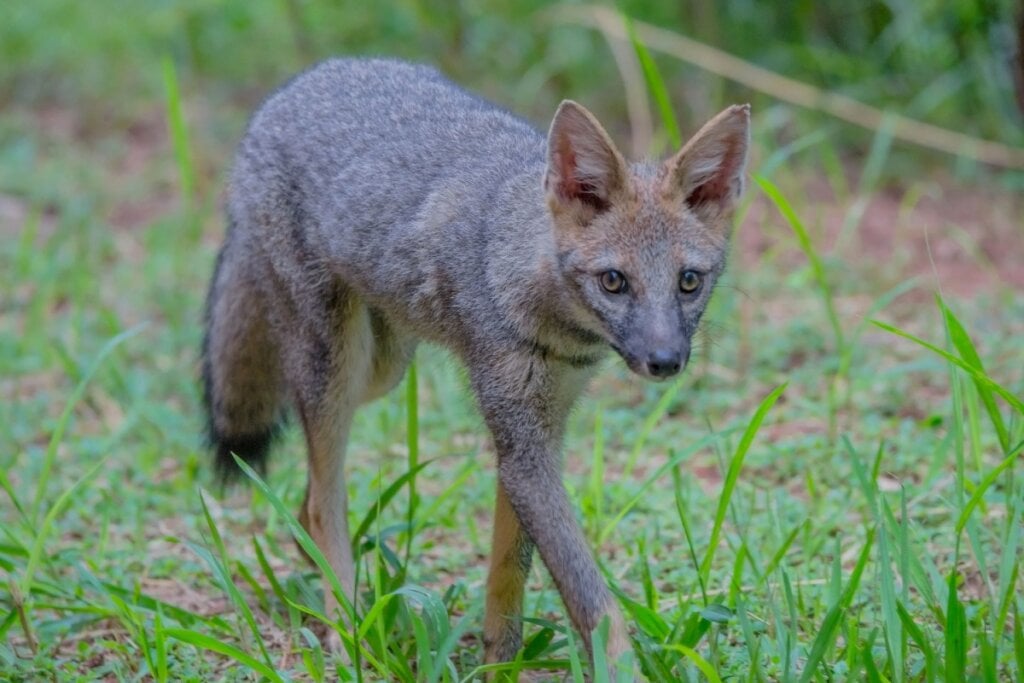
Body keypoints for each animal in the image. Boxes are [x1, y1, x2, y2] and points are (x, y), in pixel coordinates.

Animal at [199, 56, 749, 675]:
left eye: (689, 282)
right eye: (614, 281)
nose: (665, 362)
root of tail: (303, 81)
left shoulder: (532, 439)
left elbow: (509, 572)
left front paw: (500, 664)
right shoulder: (523, 446)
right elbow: (594, 600)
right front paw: (620, 669)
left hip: (379, 370)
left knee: (310, 498)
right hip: (335, 367)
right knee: (321, 505)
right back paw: (347, 633)